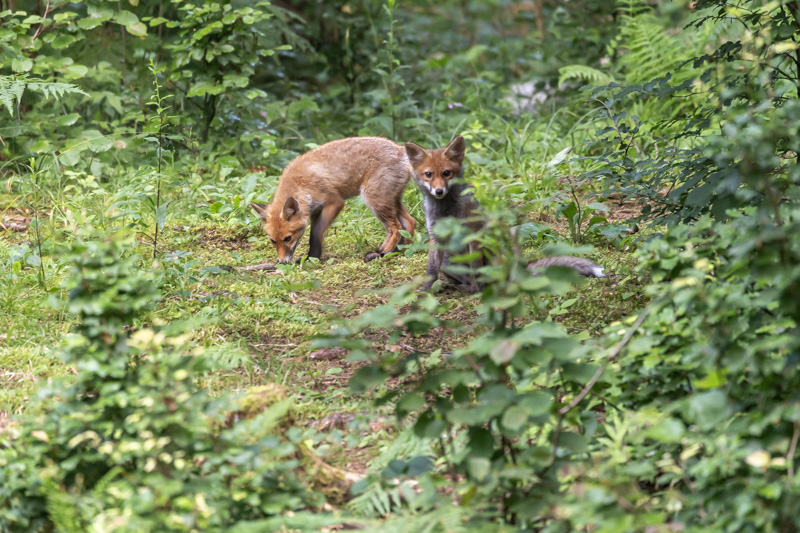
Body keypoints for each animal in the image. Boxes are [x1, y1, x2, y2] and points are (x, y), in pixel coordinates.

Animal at [252, 136, 416, 262]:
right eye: (273, 241)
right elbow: (313, 236)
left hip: (374, 199)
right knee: (410, 223)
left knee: (396, 229)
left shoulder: (335, 202)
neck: (300, 184)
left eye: (287, 238)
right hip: (391, 200)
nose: (281, 262)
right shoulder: (314, 211)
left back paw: (382, 253)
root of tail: (400, 149)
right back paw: (400, 252)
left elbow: (316, 234)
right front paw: (312, 257)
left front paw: (312, 258)